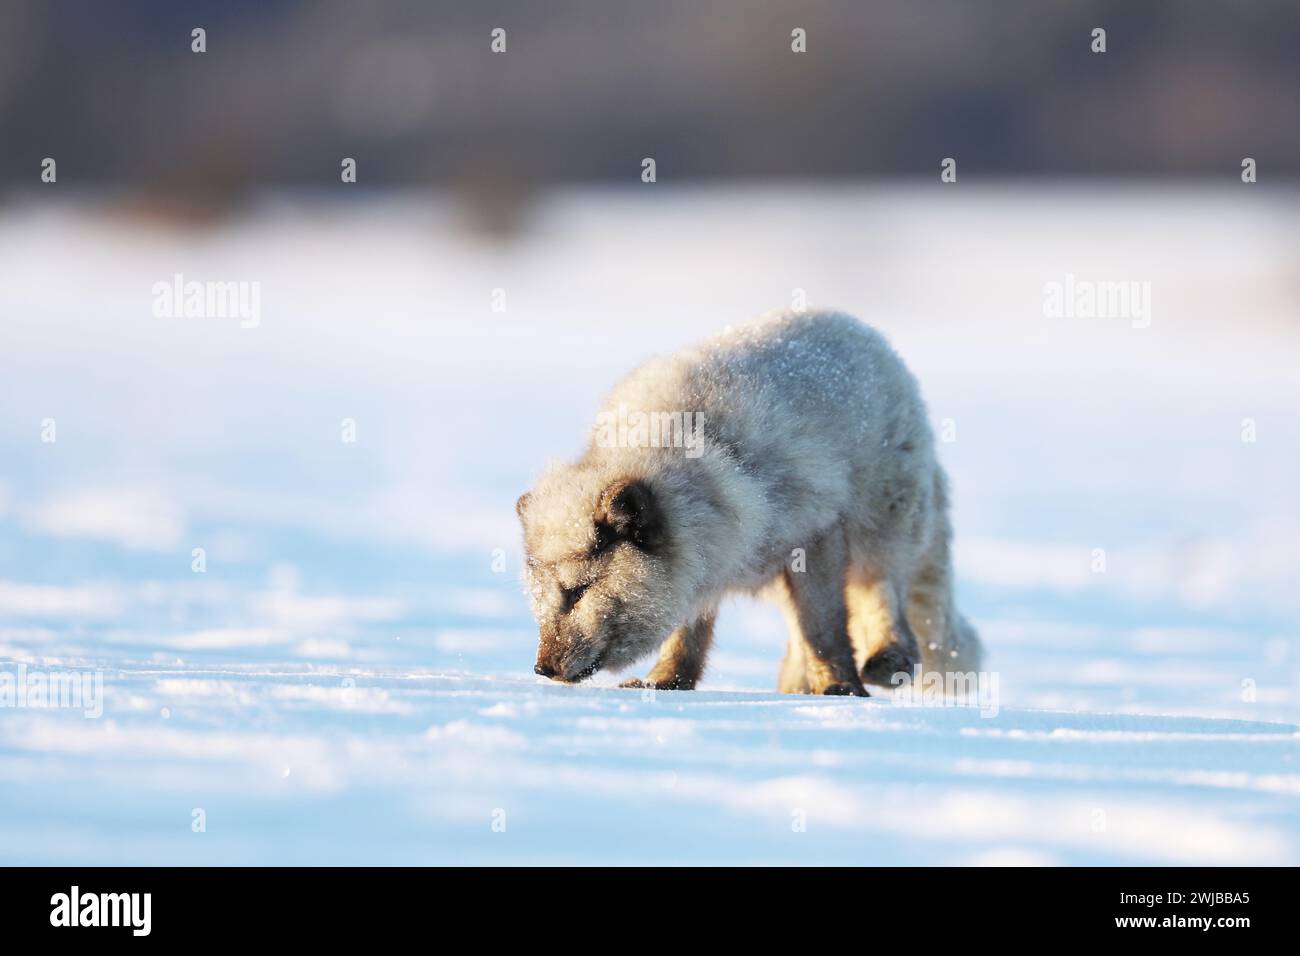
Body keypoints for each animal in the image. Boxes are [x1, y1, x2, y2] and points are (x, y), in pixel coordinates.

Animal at [516, 310, 981, 695]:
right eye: (539, 598)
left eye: (577, 592)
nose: (541, 669)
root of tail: (864, 329)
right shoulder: (705, 554)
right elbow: (691, 630)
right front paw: (666, 682)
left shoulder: (815, 534)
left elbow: (825, 627)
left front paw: (842, 688)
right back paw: (795, 687)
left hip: (882, 526)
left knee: (886, 594)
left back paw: (887, 658)